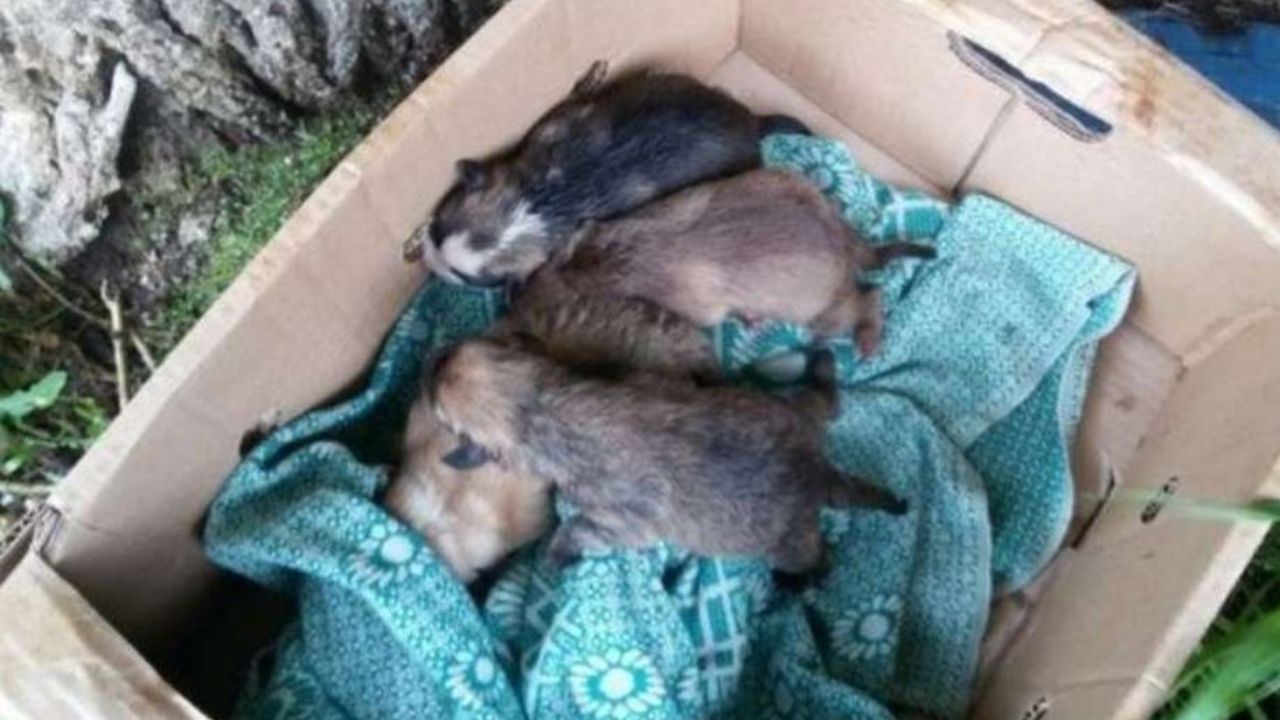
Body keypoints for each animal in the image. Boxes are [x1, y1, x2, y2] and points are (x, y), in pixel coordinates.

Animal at [412, 59, 808, 283]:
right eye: (439, 229)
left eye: (464, 276)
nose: (429, 264)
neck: (534, 205)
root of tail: (753, 121)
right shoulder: (550, 126)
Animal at [427, 335, 901, 571]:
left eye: (441, 414)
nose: (433, 356)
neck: (541, 408)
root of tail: (816, 472)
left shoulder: (621, 518)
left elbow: (582, 528)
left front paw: (558, 552)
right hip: (793, 412)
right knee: (824, 402)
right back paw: (822, 367)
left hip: (791, 543)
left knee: (809, 559)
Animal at [535, 171, 936, 356]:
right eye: (560, 257)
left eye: (562, 273)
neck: (625, 252)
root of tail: (846, 237)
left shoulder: (697, 306)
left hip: (824, 314)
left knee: (871, 296)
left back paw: (867, 340)